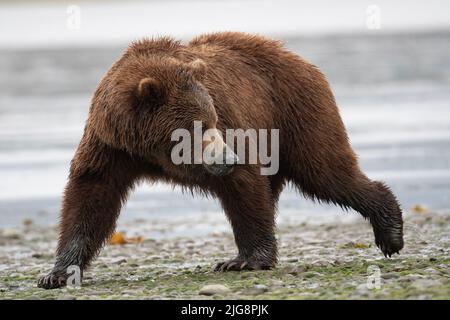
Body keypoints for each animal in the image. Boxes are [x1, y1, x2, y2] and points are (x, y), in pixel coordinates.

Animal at [38, 32, 404, 290]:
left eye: (211, 120)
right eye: (197, 126)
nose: (227, 158)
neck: (149, 149)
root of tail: (297, 57)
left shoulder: (233, 122)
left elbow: (243, 185)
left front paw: (249, 260)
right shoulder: (110, 146)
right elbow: (89, 198)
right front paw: (57, 274)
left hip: (296, 112)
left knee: (327, 172)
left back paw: (391, 232)